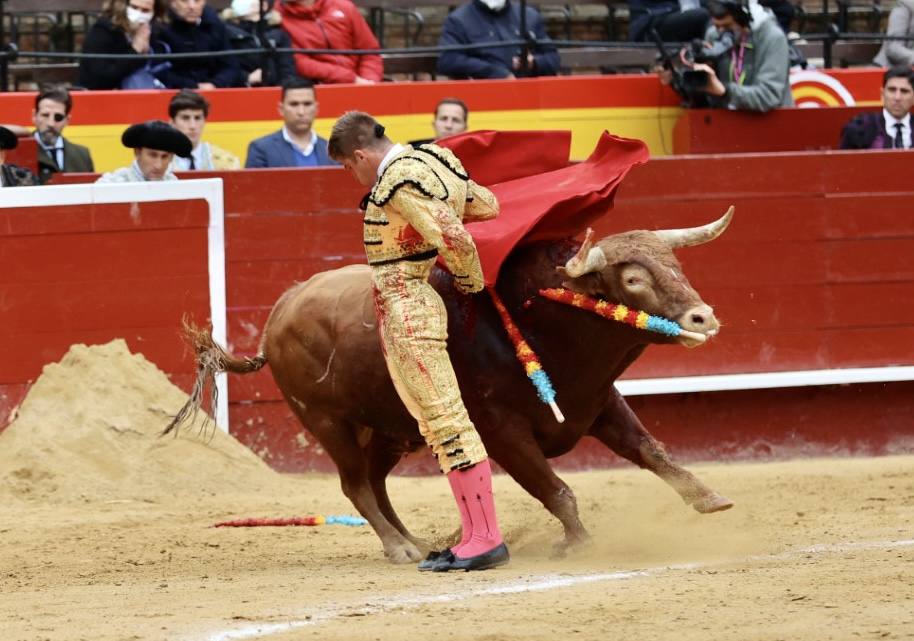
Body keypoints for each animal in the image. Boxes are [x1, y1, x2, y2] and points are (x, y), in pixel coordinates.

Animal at [169, 209, 732, 560]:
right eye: (633, 280)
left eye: (675, 264)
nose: (703, 318)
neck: (535, 320)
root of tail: (282, 309)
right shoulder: (503, 432)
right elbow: (557, 489)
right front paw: (575, 542)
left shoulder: (597, 403)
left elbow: (651, 450)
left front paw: (709, 499)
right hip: (327, 422)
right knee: (355, 484)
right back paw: (399, 548)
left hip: (391, 431)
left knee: (374, 482)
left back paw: (418, 541)